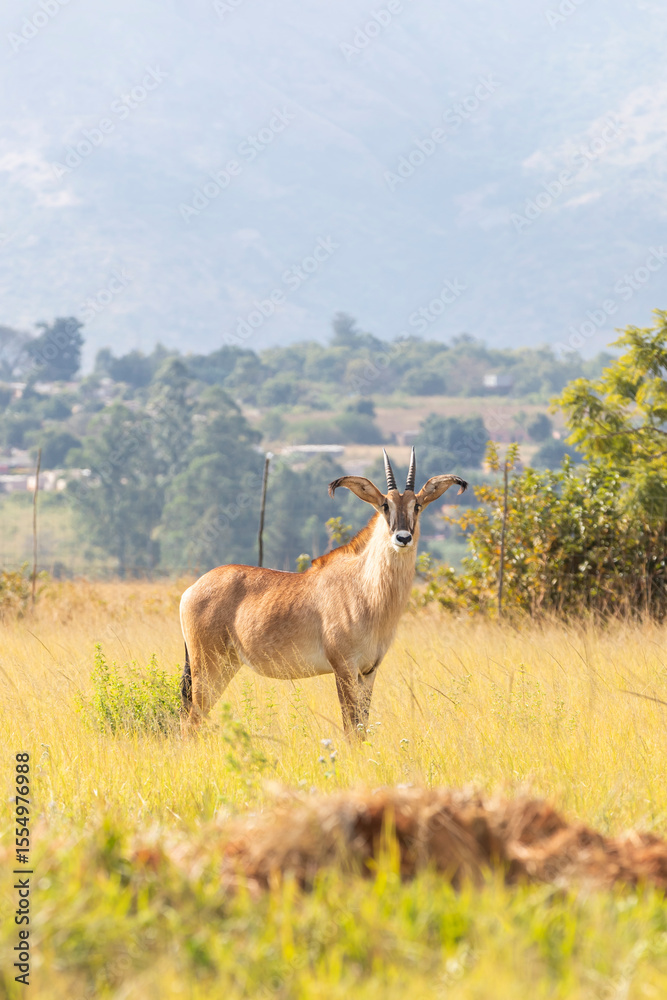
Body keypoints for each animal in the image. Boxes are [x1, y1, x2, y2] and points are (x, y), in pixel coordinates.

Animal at [179, 449, 466, 736]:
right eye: (386, 505)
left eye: (416, 505)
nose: (403, 538)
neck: (364, 588)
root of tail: (190, 591)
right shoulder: (344, 668)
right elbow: (350, 728)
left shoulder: (368, 671)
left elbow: (362, 728)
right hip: (208, 667)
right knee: (192, 720)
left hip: (224, 667)